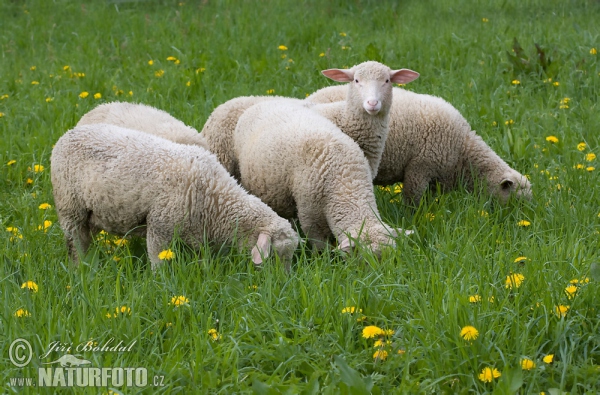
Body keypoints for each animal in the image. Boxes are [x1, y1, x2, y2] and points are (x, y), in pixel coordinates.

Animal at [50, 124, 298, 272]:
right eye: (277, 254)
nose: (282, 283)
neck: (217, 200)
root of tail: (69, 133)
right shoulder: (159, 226)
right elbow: (158, 262)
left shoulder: (197, 234)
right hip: (70, 208)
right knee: (75, 244)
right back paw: (79, 270)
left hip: (90, 214)